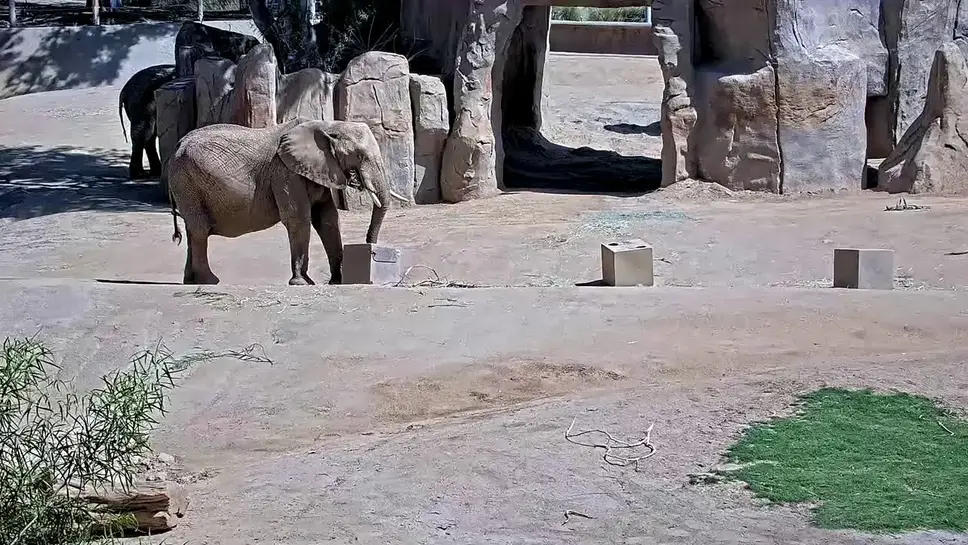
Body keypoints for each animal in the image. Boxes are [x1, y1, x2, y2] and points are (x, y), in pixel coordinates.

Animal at [167, 117, 407, 286]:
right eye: (359, 155)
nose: (370, 247)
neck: (328, 124)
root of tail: (177, 145)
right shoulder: (285, 171)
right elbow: (298, 217)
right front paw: (303, 283)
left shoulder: (316, 169)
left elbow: (327, 219)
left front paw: (336, 281)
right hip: (186, 179)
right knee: (200, 229)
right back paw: (210, 281)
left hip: (185, 183)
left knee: (193, 230)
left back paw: (190, 281)